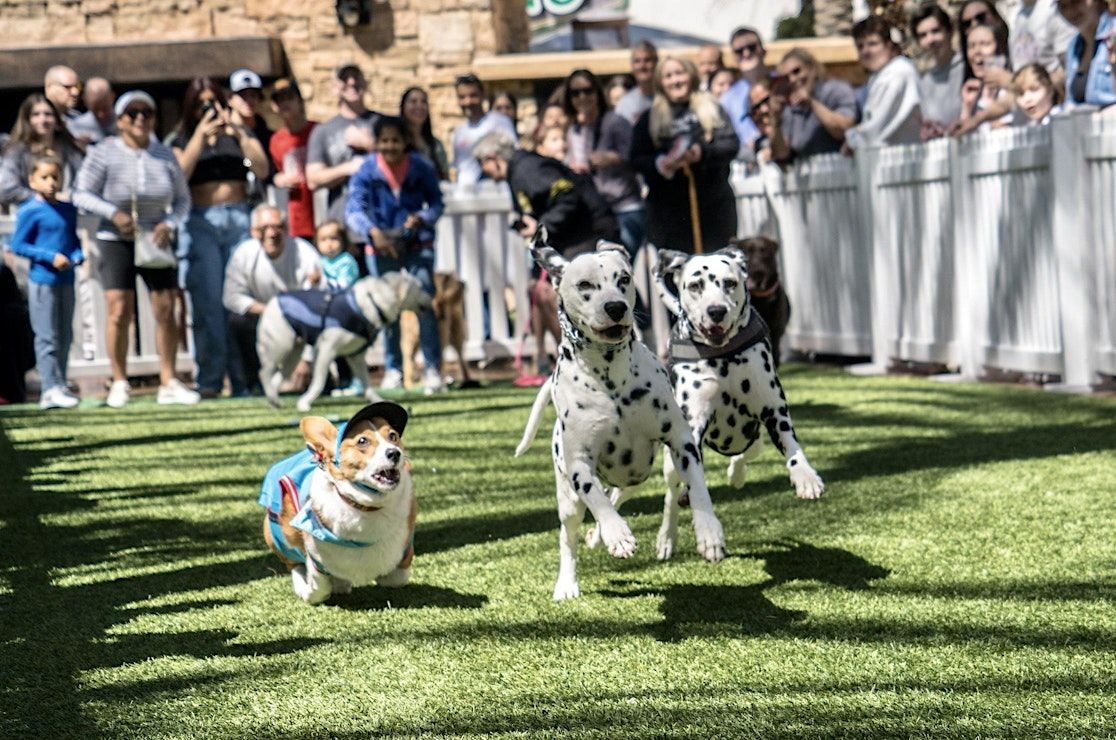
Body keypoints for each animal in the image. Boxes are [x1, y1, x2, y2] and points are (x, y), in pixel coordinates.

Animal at [258, 401, 417, 607]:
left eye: (393, 436)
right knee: (295, 564)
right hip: (278, 537)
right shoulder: (315, 559)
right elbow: (319, 588)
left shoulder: (404, 553)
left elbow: (395, 578)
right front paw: (307, 591)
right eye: (362, 441)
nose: (395, 453)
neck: (365, 507)